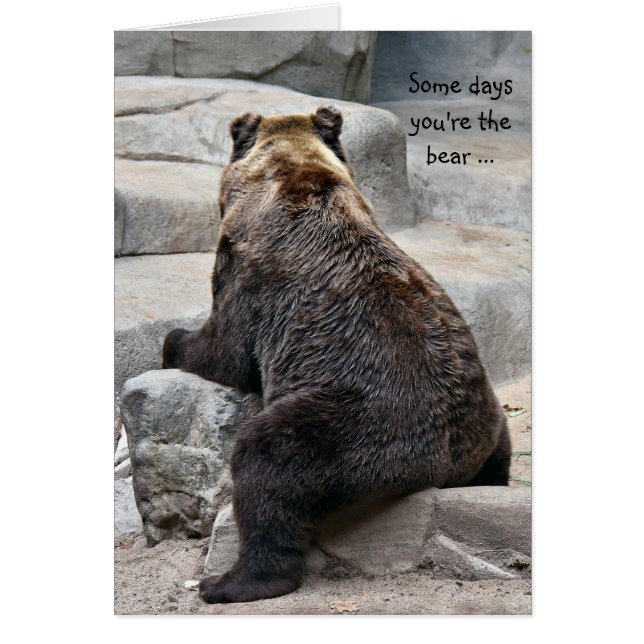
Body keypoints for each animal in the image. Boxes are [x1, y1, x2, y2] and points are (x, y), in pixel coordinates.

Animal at [162, 105, 510, 604]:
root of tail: (445, 464)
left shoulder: (248, 270)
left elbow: (226, 350)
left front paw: (173, 341)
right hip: (483, 411)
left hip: (361, 421)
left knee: (267, 457)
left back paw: (232, 581)